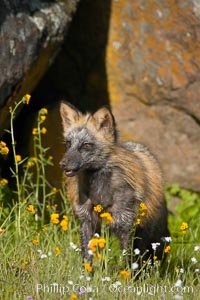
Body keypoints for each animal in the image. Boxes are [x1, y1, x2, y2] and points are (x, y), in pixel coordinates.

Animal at [59, 102, 169, 264]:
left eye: (86, 145)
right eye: (68, 144)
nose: (63, 164)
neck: (99, 194)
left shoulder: (125, 226)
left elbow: (127, 263)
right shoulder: (87, 222)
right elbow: (87, 260)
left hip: (145, 233)